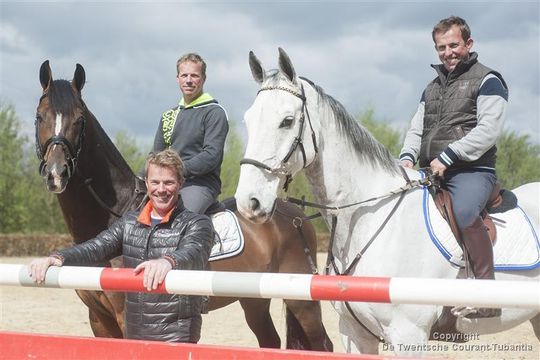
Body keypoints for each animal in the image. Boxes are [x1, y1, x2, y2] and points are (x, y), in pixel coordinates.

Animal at [34, 60, 334, 350]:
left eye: (79, 119)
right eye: (39, 117)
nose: (56, 174)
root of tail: (295, 215)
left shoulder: (124, 315)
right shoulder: (99, 318)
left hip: (302, 302)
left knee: (322, 344)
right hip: (253, 299)